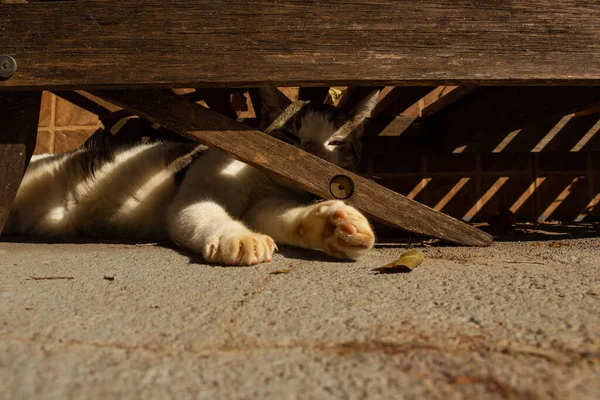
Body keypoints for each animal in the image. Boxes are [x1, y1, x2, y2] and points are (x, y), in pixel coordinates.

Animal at [3, 87, 380, 266]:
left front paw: (336, 226)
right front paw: (239, 238)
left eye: (336, 142)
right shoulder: (198, 192)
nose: (312, 156)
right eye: (291, 136)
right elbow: (207, 213)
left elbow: (287, 219)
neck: (265, 181)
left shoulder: (268, 206)